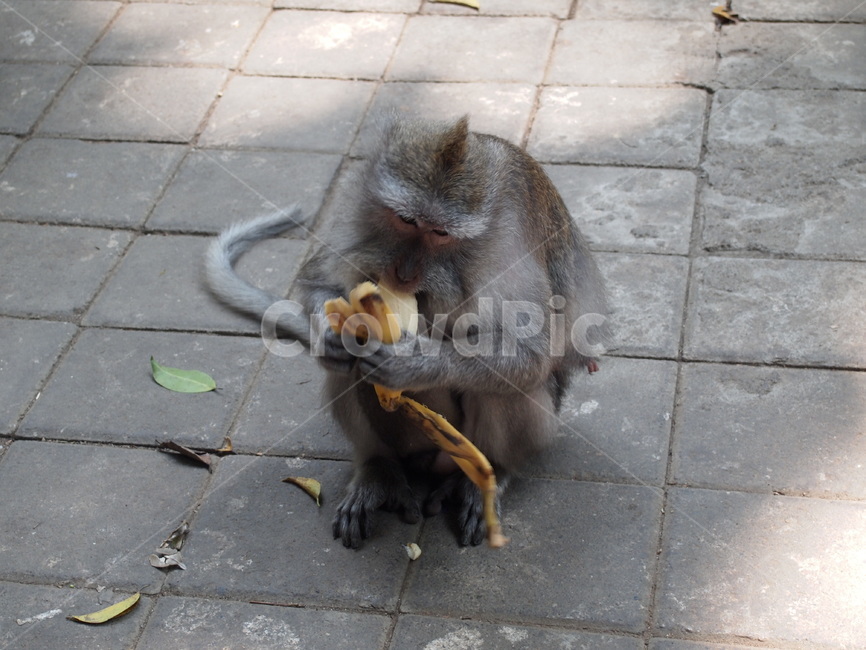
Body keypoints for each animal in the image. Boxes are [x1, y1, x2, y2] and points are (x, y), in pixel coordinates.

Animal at [206, 114, 608, 548]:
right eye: (407, 220)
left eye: (441, 233)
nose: (404, 272)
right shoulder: (357, 212)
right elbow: (318, 281)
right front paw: (331, 340)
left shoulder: (509, 247)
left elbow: (530, 350)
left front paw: (414, 362)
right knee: (353, 375)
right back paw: (378, 468)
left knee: (506, 389)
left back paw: (490, 475)